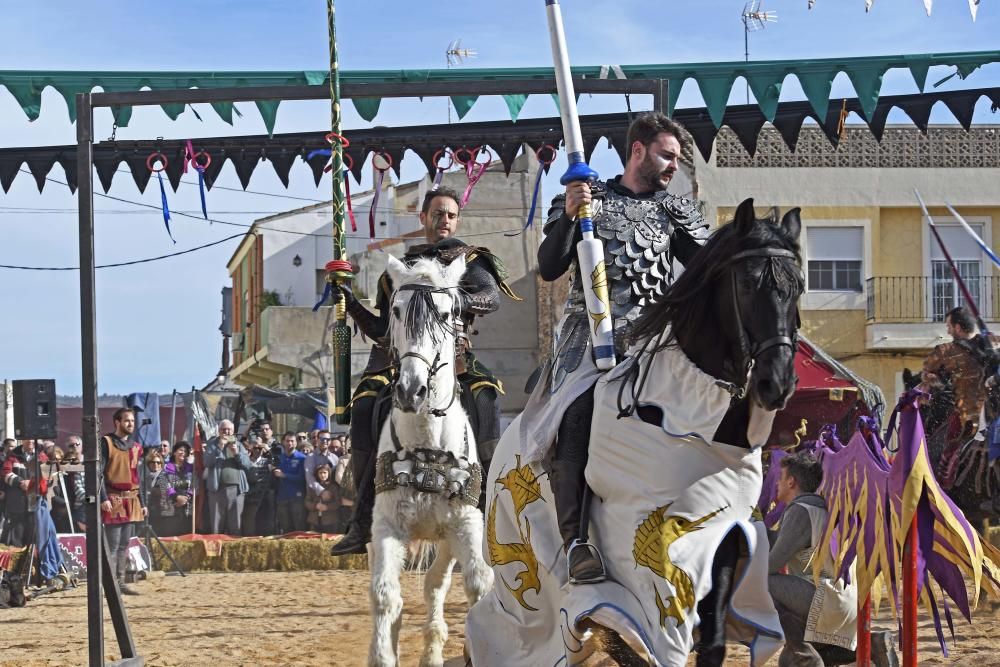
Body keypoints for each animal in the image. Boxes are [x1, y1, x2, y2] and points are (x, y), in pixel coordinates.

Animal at [368, 254, 492, 667]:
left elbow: (477, 584)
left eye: (447, 312)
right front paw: (382, 654)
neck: (426, 446)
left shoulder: (465, 525)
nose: (412, 390)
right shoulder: (387, 525)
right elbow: (384, 594)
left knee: (436, 584)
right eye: (396, 310)